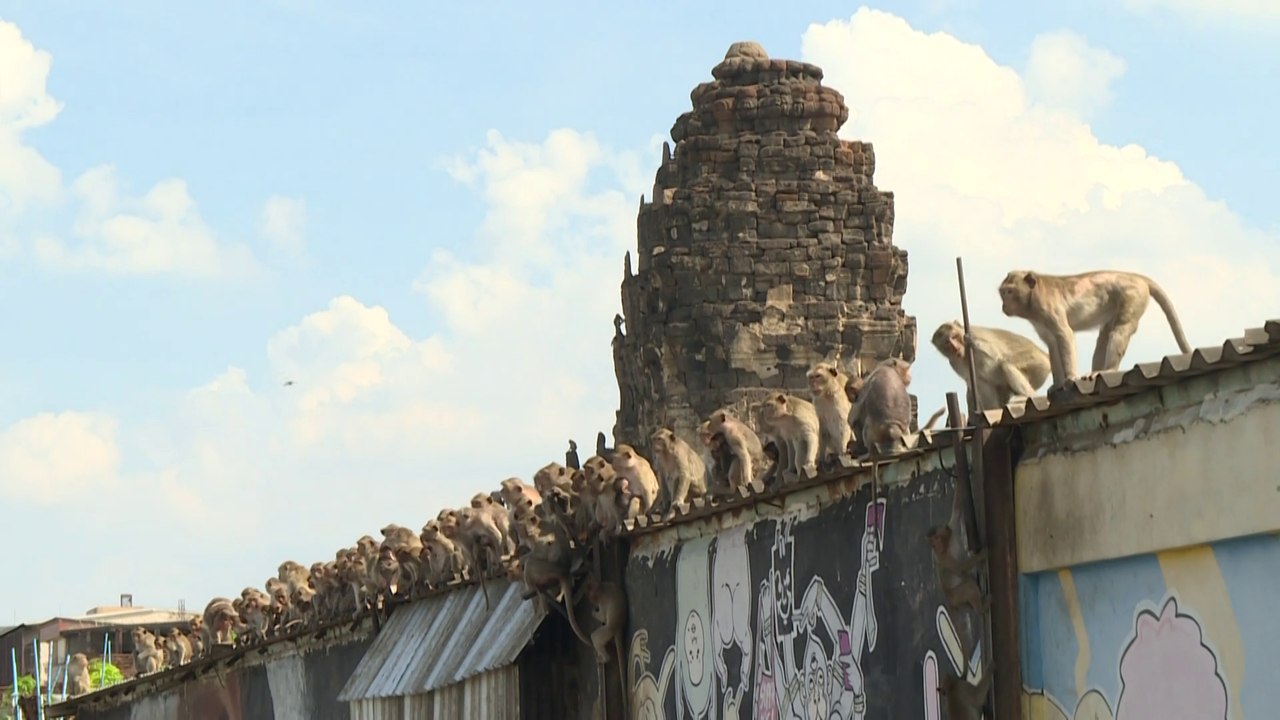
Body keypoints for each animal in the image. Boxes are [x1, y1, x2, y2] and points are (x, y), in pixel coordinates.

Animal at [998, 269, 1192, 388]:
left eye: (1010, 292)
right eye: (1002, 292)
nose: (1003, 305)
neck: (1032, 297)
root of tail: (1135, 276)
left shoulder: (1046, 308)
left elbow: (1064, 335)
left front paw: (1070, 378)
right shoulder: (1040, 320)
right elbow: (1052, 343)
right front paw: (1057, 384)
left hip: (1132, 296)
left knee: (1121, 329)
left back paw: (1109, 369)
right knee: (1105, 335)